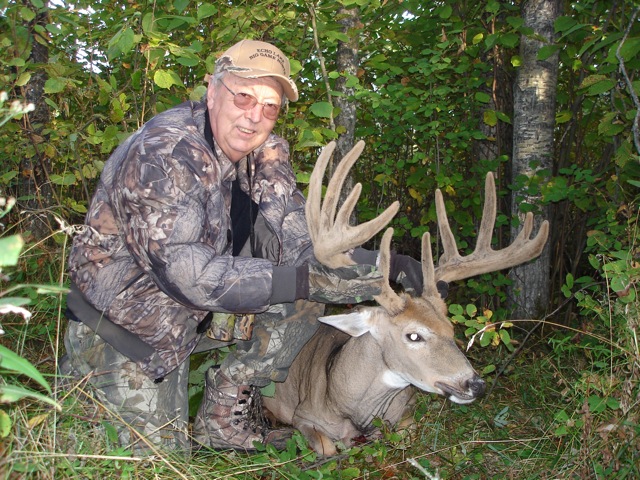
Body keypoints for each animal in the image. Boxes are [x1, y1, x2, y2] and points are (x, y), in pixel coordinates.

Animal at [262, 141, 550, 456]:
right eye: (413, 336)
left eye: (451, 330)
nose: (475, 384)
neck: (354, 410)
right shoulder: (304, 416)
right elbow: (327, 448)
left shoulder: (408, 414)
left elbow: (407, 434)